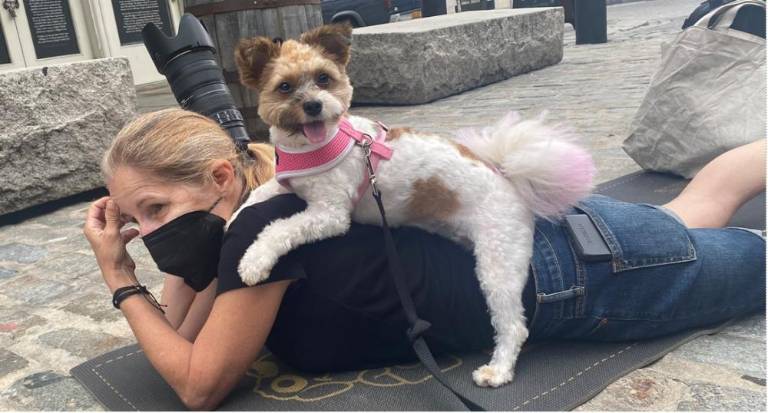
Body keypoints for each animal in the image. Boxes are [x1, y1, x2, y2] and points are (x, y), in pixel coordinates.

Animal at [232, 25, 592, 386]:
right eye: (285, 86)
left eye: (324, 78)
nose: (314, 105)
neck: (309, 148)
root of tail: (506, 178)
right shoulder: (283, 183)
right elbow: (253, 198)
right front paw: (232, 219)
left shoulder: (329, 215)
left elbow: (279, 229)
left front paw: (254, 261)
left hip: (499, 263)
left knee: (513, 326)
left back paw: (498, 370)